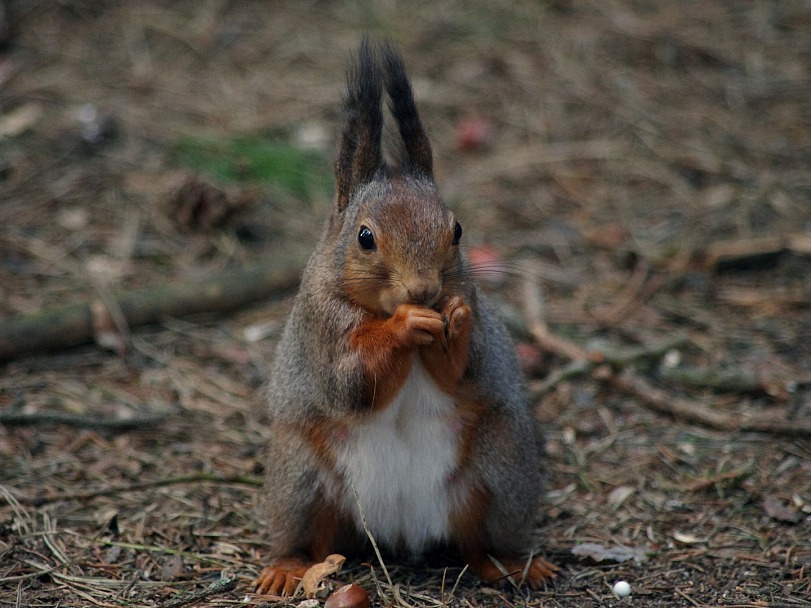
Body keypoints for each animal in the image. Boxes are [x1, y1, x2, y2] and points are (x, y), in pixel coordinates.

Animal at [255, 40, 560, 596]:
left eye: (457, 229)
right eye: (364, 237)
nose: (424, 291)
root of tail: (399, 529)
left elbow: (464, 370)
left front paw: (453, 320)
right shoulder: (322, 326)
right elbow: (351, 382)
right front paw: (403, 327)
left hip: (501, 470)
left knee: (478, 542)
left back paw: (513, 564)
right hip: (299, 479)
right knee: (305, 538)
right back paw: (286, 568)